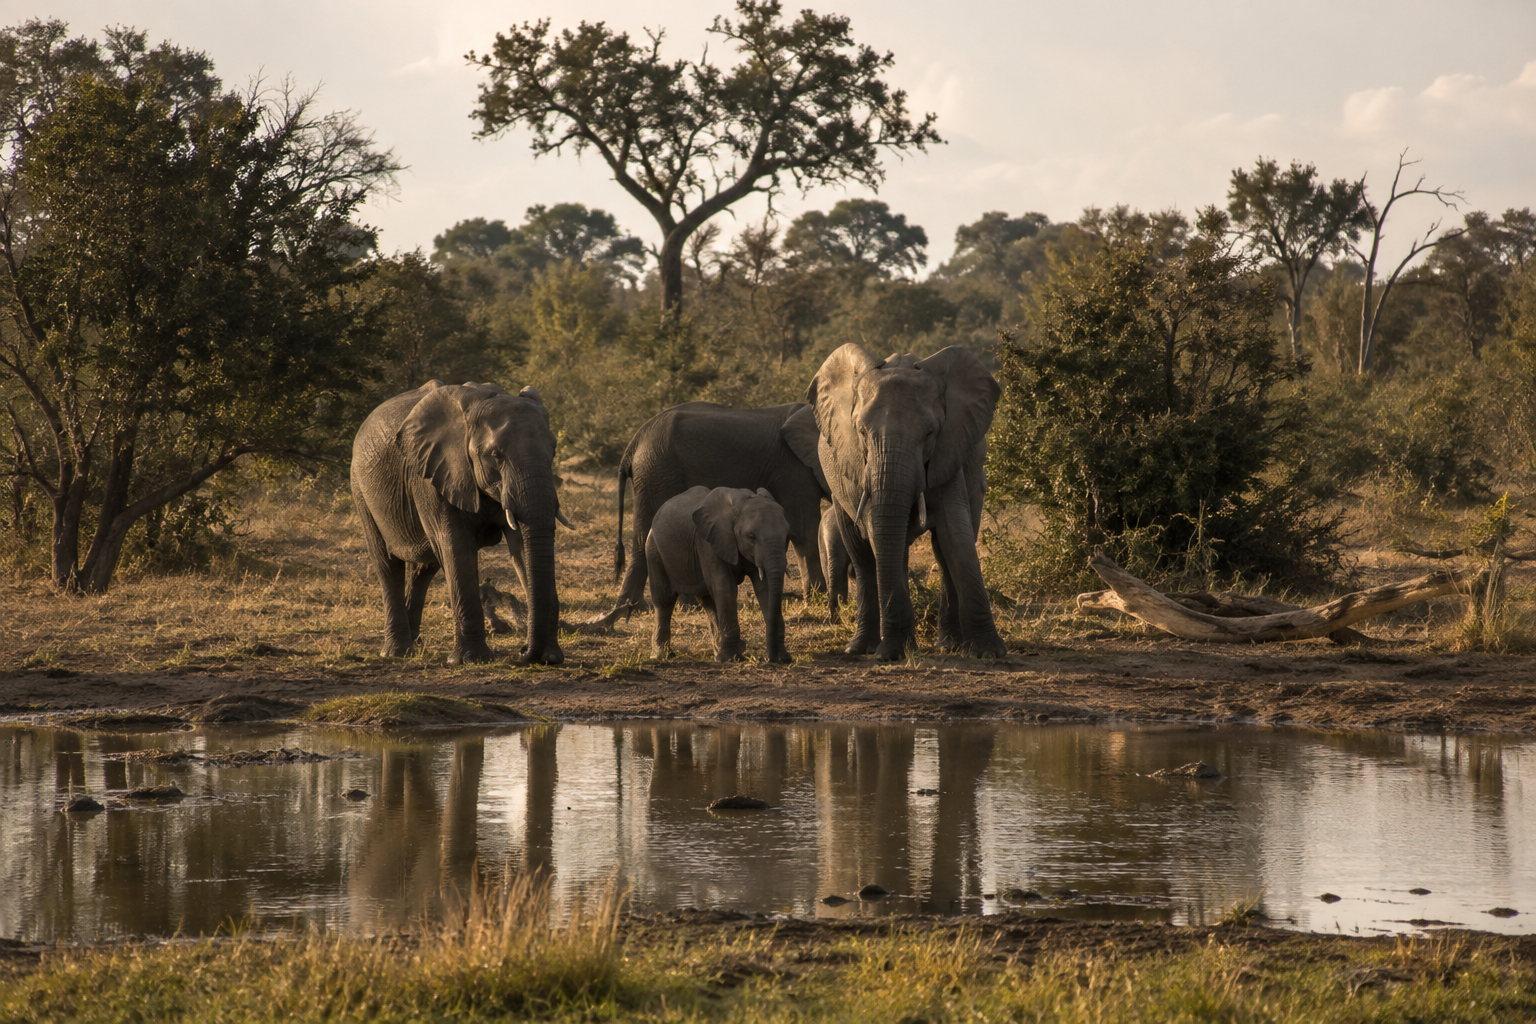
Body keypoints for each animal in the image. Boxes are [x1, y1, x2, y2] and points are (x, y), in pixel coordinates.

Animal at [350, 380, 567, 665]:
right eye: (495, 455)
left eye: (553, 450)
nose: (524, 653)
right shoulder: (432, 476)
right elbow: (456, 548)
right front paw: (471, 660)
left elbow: (521, 546)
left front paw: (550, 655)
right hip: (360, 488)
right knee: (388, 564)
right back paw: (398, 652)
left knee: (424, 567)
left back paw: (415, 644)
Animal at [588, 401, 829, 629]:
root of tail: (635, 441)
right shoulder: (792, 468)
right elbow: (804, 530)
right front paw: (820, 600)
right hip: (658, 474)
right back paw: (647, 608)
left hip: (653, 474)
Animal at [646, 485, 792, 664]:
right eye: (751, 536)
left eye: (787, 536)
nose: (769, 659)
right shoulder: (708, 542)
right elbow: (725, 587)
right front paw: (732, 659)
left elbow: (765, 589)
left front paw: (783, 658)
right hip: (653, 549)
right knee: (664, 599)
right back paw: (662, 655)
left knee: (708, 600)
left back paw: (718, 654)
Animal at [809, 344, 1006, 661]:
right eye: (861, 432)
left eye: (930, 433)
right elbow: (879, 532)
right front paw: (891, 652)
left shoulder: (947, 452)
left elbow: (955, 535)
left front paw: (989, 651)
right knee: (865, 556)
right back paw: (863, 648)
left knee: (939, 551)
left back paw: (947, 645)